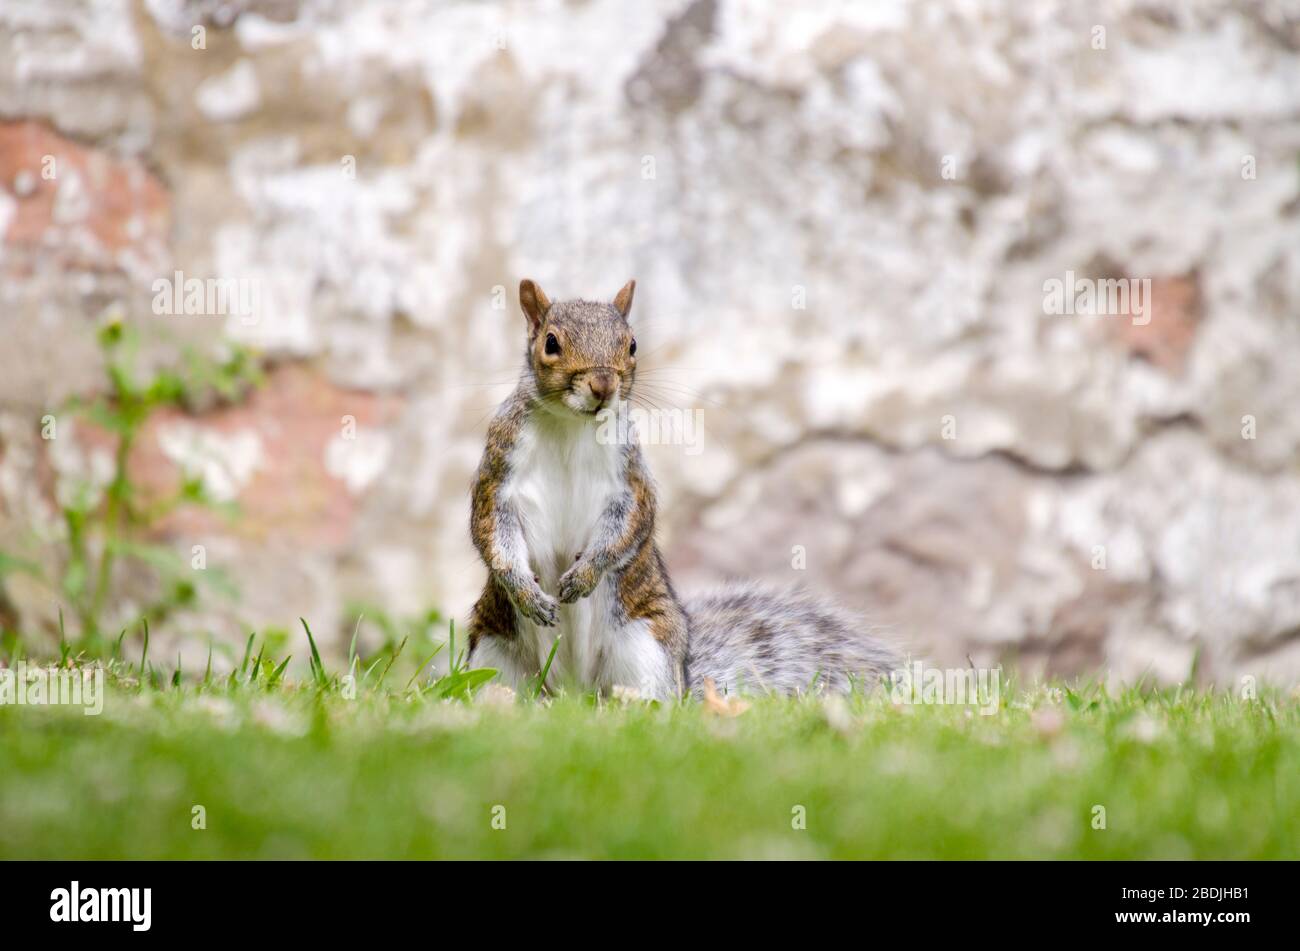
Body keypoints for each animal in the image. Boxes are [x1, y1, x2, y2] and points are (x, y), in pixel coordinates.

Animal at [466, 279, 899, 700]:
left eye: (632, 344)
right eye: (551, 343)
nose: (603, 384)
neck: (572, 424)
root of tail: (573, 694)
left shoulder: (630, 479)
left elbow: (629, 525)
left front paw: (585, 575)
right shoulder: (499, 473)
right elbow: (492, 533)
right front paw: (526, 593)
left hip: (647, 644)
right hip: (491, 651)